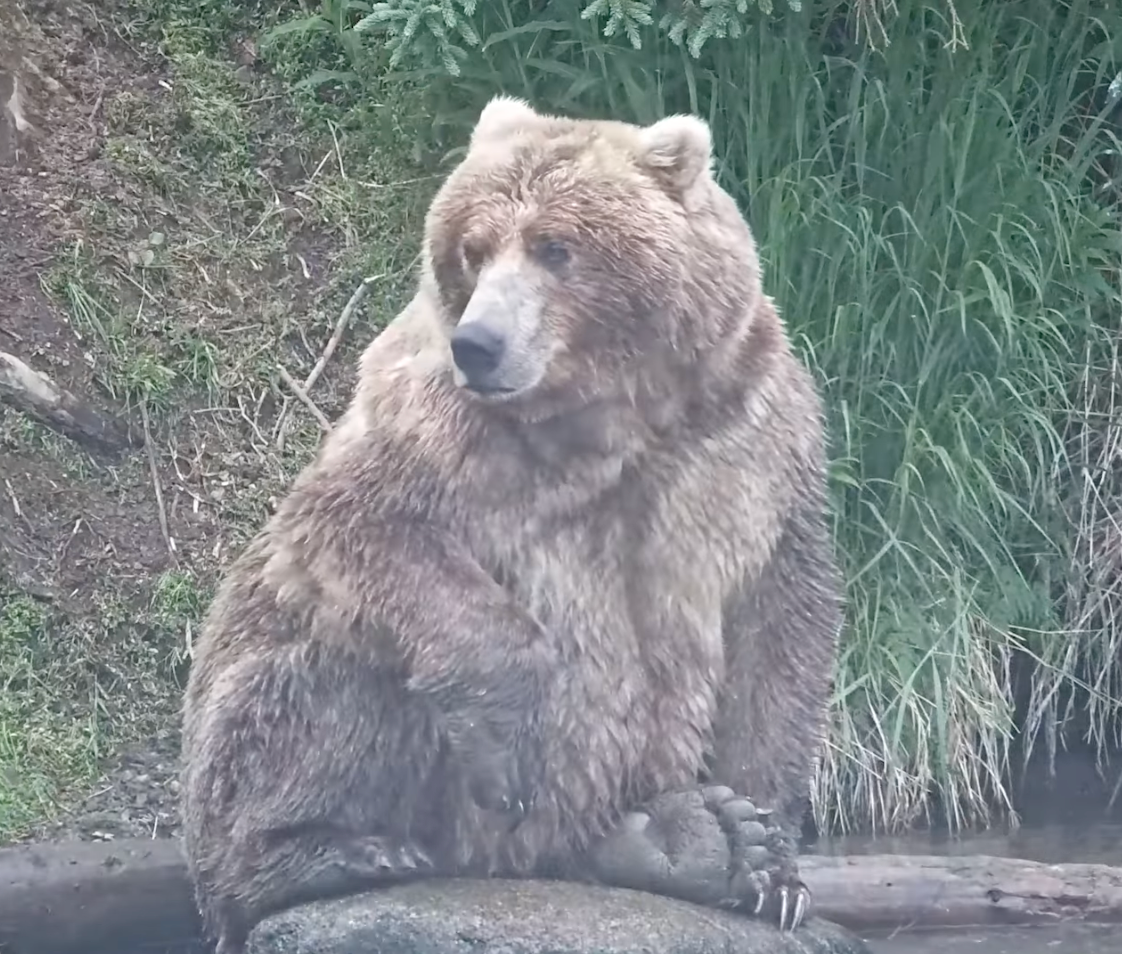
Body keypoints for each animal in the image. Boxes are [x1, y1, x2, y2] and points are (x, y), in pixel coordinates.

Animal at [179, 94, 844, 954]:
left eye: (555, 246)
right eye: (475, 246)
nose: (481, 343)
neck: (616, 414)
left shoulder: (752, 434)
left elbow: (780, 623)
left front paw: (772, 861)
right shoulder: (437, 422)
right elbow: (358, 523)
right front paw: (511, 743)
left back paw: (689, 839)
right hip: (253, 753)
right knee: (337, 677)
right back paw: (331, 852)